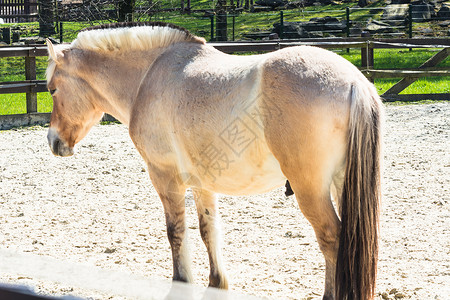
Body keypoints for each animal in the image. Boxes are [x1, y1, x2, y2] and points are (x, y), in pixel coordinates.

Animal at [44, 21, 384, 300]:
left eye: (52, 90)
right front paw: (216, 282)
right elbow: (209, 230)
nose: (53, 141)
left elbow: (175, 231)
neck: (148, 76)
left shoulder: (164, 178)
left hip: (310, 190)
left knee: (332, 240)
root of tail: (354, 83)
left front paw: (181, 283)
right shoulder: (202, 184)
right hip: (341, 184)